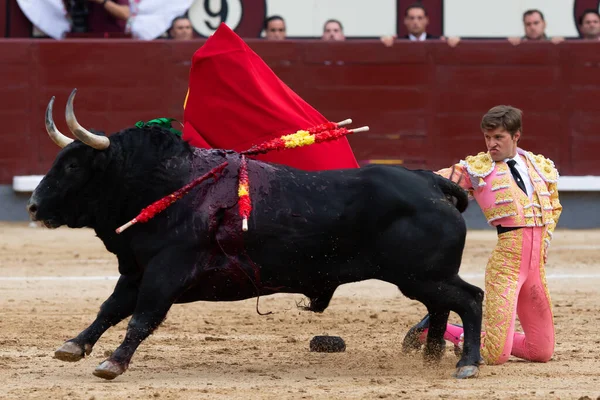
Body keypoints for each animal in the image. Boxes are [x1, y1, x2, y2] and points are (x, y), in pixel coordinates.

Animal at [27, 95, 482, 380]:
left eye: (73, 166)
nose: (32, 206)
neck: (166, 186)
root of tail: (433, 184)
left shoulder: (166, 271)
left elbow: (142, 316)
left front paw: (113, 364)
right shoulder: (137, 270)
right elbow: (110, 309)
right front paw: (74, 346)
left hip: (422, 275)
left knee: (469, 299)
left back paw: (468, 363)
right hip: (423, 278)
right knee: (441, 307)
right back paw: (431, 359)